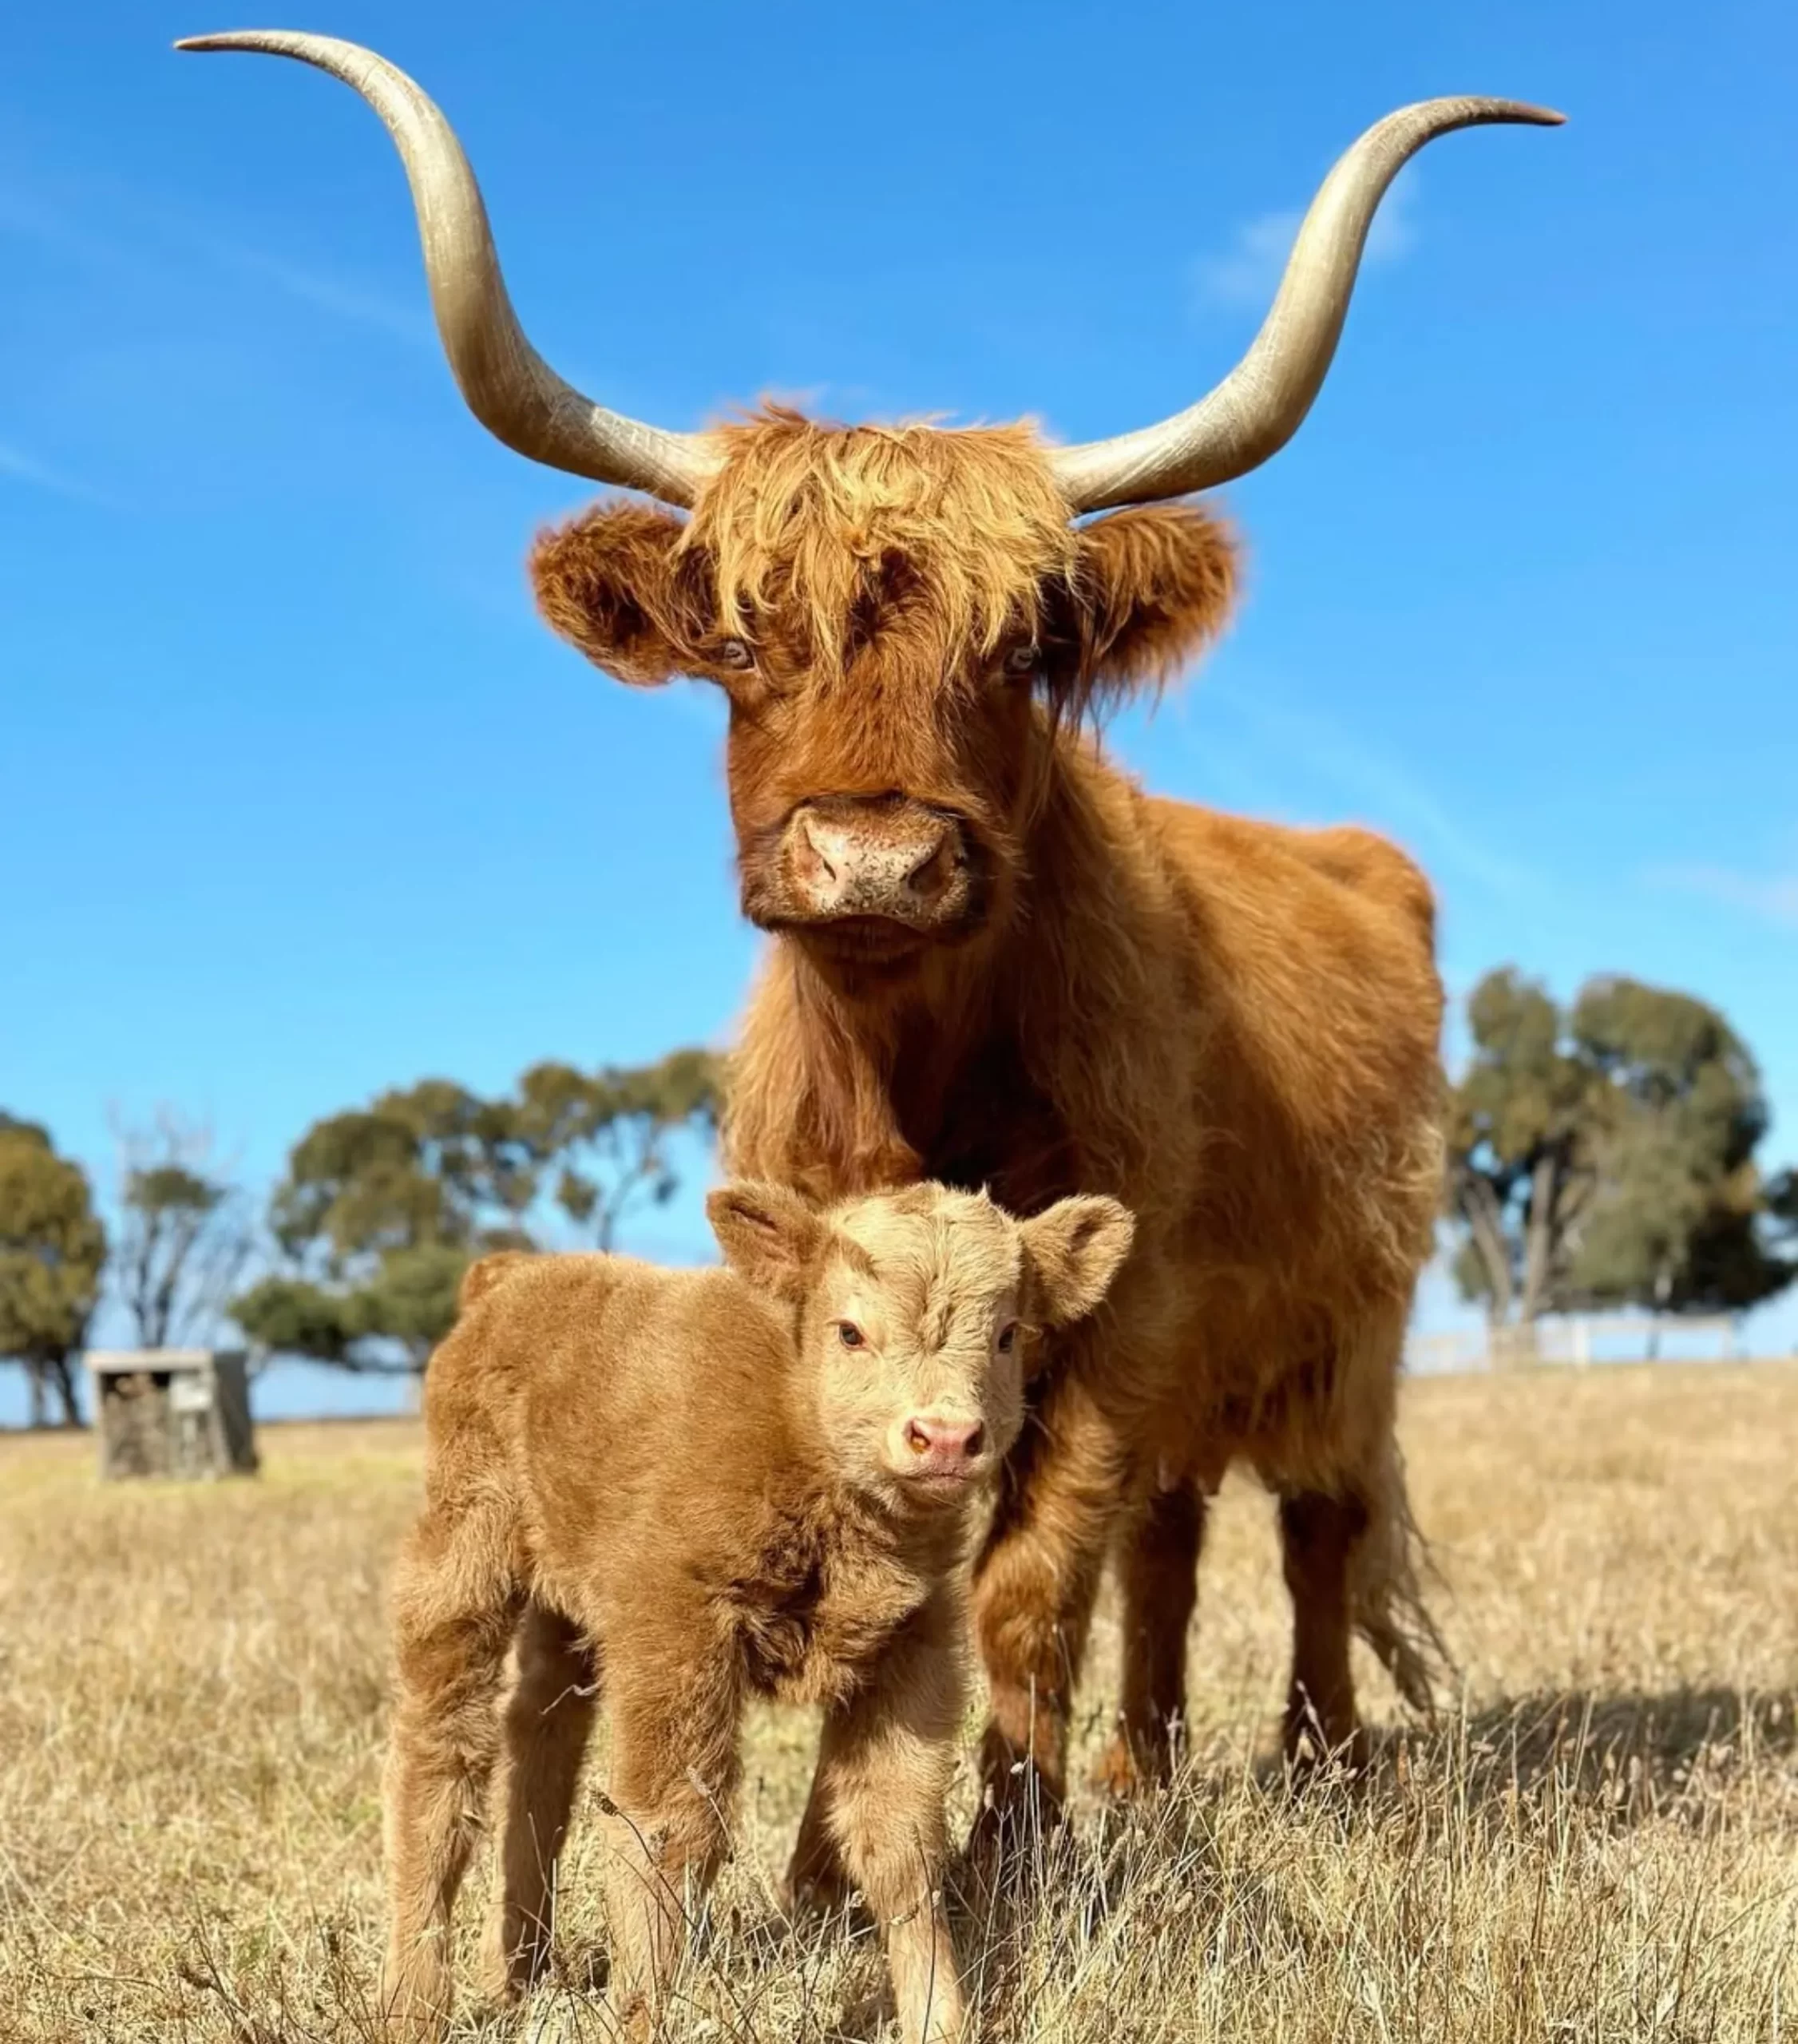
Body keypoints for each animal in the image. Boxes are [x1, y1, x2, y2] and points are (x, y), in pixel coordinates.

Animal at [382, 1177, 1135, 2035]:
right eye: (850, 1331)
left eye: (1008, 1334)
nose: (944, 1437)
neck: (795, 1419)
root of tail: (506, 1279)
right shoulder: (676, 1635)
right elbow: (667, 1828)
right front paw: (642, 2020)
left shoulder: (912, 1654)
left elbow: (898, 1840)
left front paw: (942, 2021)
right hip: (464, 1555)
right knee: (440, 1756)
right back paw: (414, 2005)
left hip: (560, 1605)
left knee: (540, 1740)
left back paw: (519, 1970)